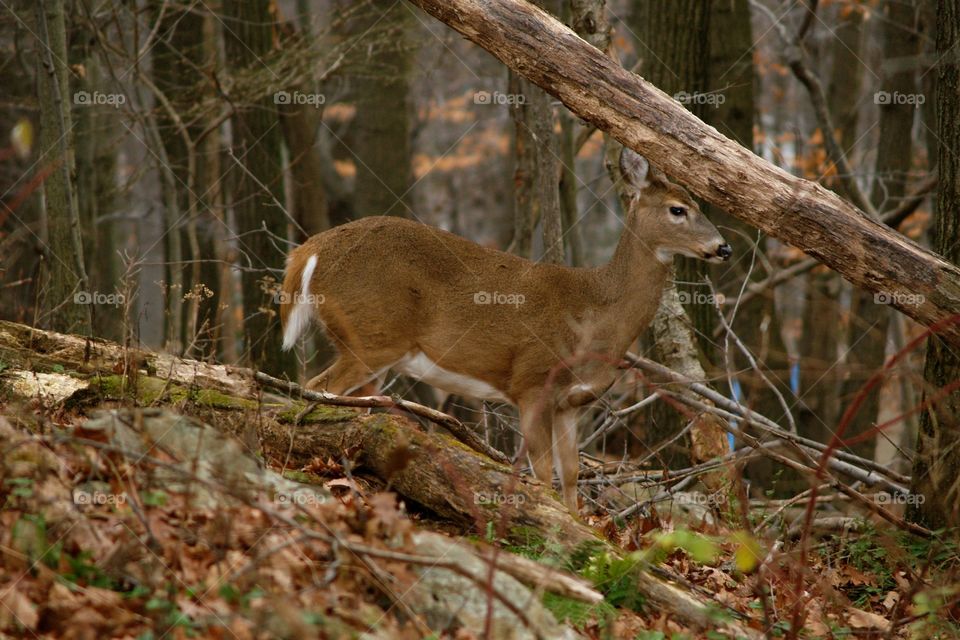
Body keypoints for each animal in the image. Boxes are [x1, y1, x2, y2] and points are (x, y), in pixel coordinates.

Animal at [279, 148, 731, 513]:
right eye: (678, 209)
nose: (723, 248)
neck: (593, 314)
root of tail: (310, 251)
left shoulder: (571, 402)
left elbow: (570, 473)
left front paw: (582, 528)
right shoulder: (531, 381)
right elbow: (543, 472)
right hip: (371, 336)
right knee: (315, 388)